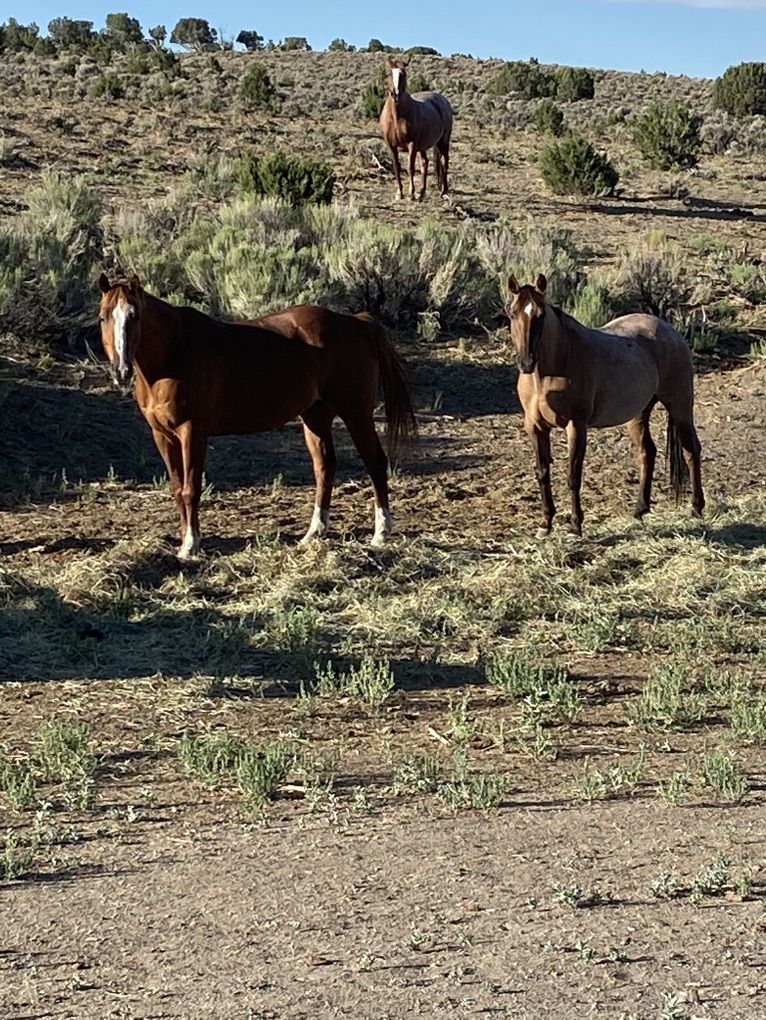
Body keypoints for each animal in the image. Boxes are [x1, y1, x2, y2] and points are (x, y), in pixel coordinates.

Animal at [97, 275, 417, 559]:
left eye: (135, 316)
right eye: (103, 318)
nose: (121, 370)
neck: (174, 355)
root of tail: (356, 322)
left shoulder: (192, 432)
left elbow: (190, 489)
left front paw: (191, 546)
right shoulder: (162, 435)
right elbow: (177, 489)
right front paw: (185, 541)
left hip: (355, 412)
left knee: (375, 462)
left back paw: (381, 533)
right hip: (315, 416)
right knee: (325, 467)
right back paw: (314, 533)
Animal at [379, 59, 453, 202]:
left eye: (403, 74)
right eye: (389, 74)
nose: (395, 94)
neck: (396, 116)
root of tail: (444, 101)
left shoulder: (411, 144)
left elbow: (410, 168)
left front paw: (411, 193)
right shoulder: (391, 145)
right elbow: (397, 167)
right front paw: (399, 193)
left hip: (443, 141)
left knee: (444, 162)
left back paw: (443, 191)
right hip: (422, 147)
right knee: (425, 163)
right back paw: (422, 192)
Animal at [507, 273, 704, 538]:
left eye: (541, 315)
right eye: (512, 313)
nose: (526, 363)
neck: (550, 373)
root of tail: (669, 329)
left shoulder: (576, 426)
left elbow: (573, 476)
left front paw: (575, 525)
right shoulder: (535, 427)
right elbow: (542, 473)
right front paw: (545, 524)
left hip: (680, 405)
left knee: (691, 449)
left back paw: (696, 508)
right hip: (638, 414)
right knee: (647, 452)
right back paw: (640, 509)